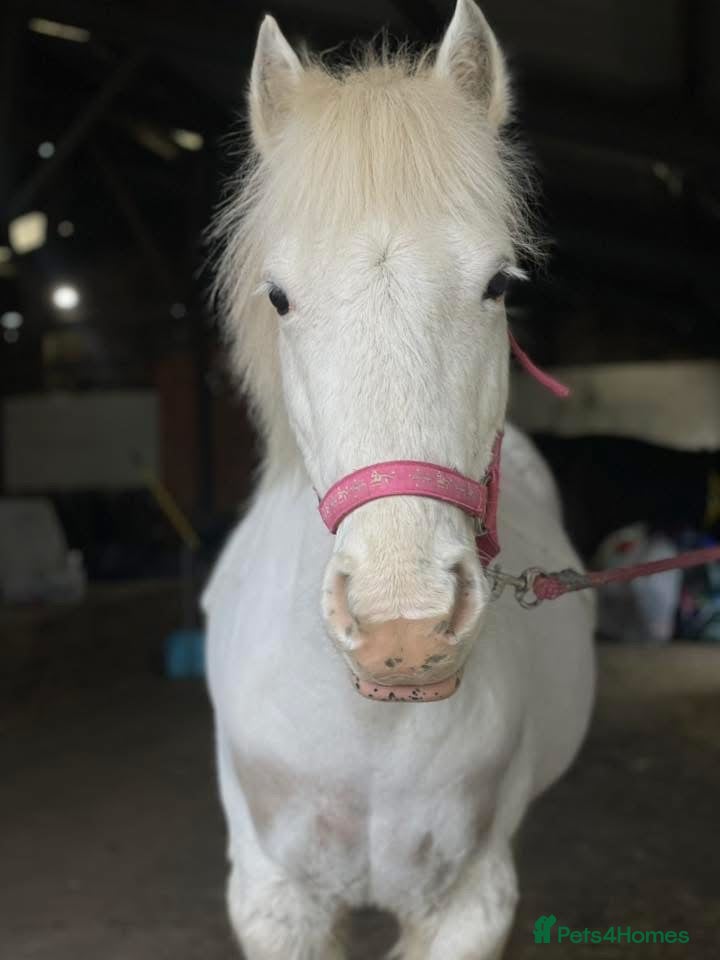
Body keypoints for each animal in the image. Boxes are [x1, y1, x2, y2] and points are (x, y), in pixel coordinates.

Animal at [202, 1, 596, 956]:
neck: (372, 721)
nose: (404, 628)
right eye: (279, 296)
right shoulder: (274, 901)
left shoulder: (471, 903)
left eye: (499, 284)